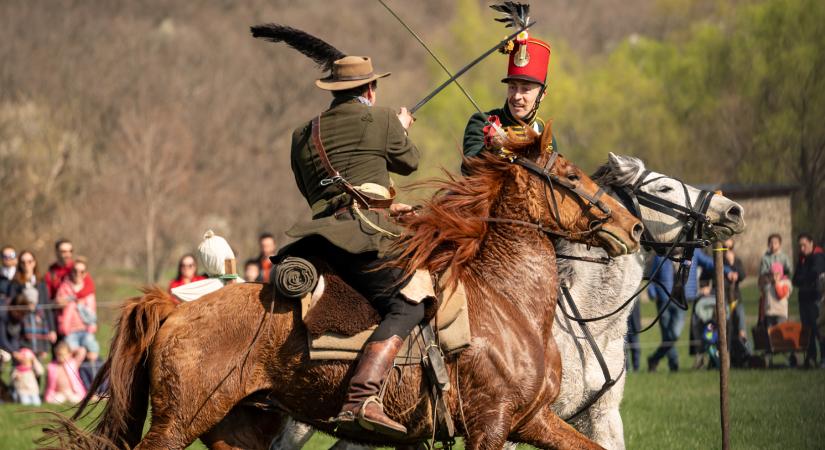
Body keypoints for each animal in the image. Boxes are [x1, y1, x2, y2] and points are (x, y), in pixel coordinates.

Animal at [41, 128, 640, 448]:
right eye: (570, 175)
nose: (631, 228)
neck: (506, 300)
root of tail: (175, 307)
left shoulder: (534, 420)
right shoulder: (491, 428)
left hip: (233, 427)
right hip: (178, 422)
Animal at [268, 153, 744, 448]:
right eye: (664, 189)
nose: (733, 210)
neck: (583, 323)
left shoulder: (601, 419)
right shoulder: (508, 423)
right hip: (301, 420)